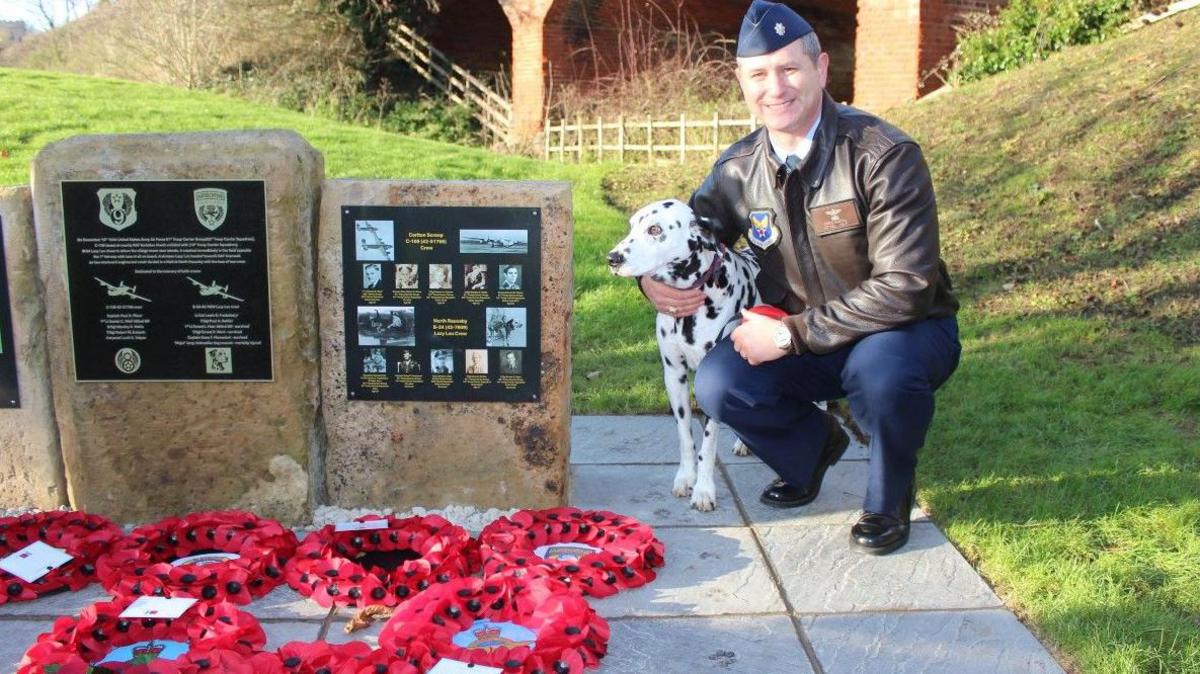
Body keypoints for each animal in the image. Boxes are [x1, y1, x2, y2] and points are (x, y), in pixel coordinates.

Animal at [609, 199, 758, 508]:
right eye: (631, 225)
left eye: (655, 229)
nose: (612, 258)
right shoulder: (674, 376)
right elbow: (685, 437)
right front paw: (686, 478)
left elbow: (708, 445)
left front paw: (703, 489)